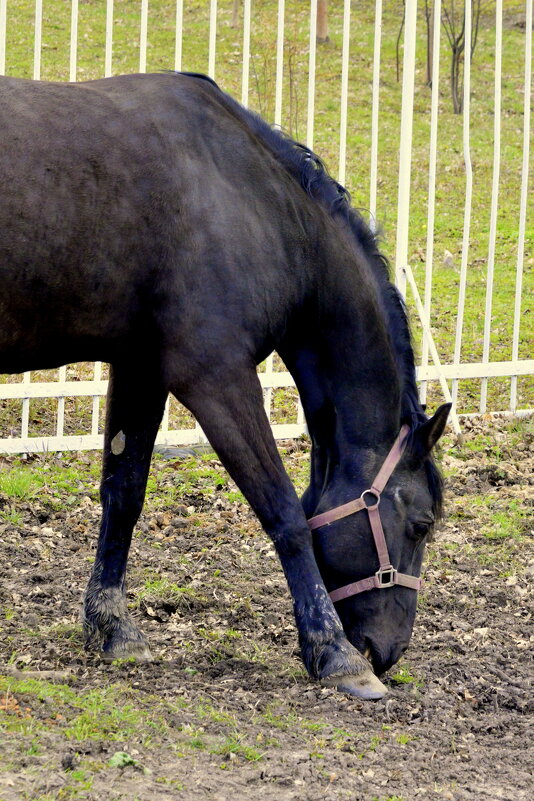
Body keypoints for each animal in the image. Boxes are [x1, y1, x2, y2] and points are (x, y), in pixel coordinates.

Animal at [1, 72, 452, 696]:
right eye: (421, 525)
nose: (387, 651)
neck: (251, 199)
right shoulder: (218, 379)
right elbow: (284, 512)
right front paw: (334, 653)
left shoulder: (140, 367)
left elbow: (123, 493)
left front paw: (112, 628)